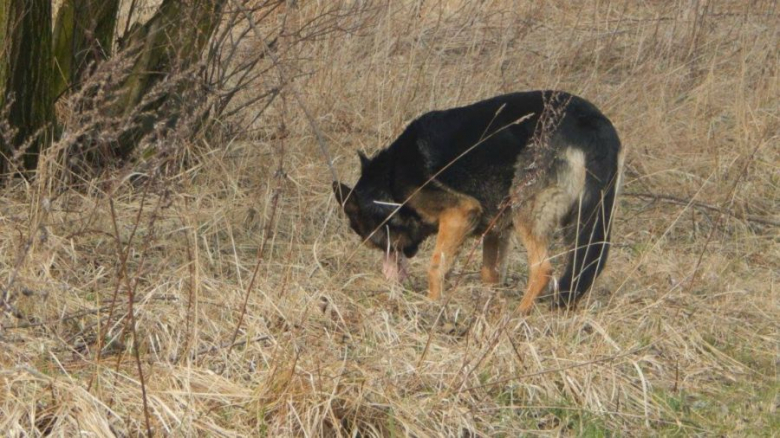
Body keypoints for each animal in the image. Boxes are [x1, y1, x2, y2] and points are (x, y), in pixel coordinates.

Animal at [332, 90, 624, 314]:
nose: (396, 265)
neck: (390, 183)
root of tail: (594, 126)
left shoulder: (460, 213)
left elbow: (436, 267)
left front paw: (431, 306)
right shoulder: (497, 229)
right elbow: (490, 274)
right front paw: (487, 306)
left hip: (528, 214)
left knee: (543, 270)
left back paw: (518, 315)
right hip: (578, 222)